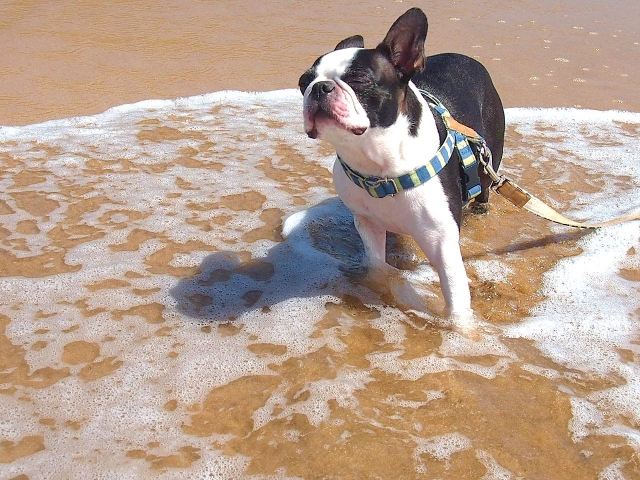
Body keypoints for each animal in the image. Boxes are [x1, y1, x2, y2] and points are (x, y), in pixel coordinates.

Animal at [300, 7, 504, 320]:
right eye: (302, 83)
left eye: (359, 79)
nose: (319, 87)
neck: (377, 161)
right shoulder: (367, 224)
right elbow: (377, 265)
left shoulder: (442, 242)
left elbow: (456, 299)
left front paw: (460, 327)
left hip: (487, 162)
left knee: (484, 188)